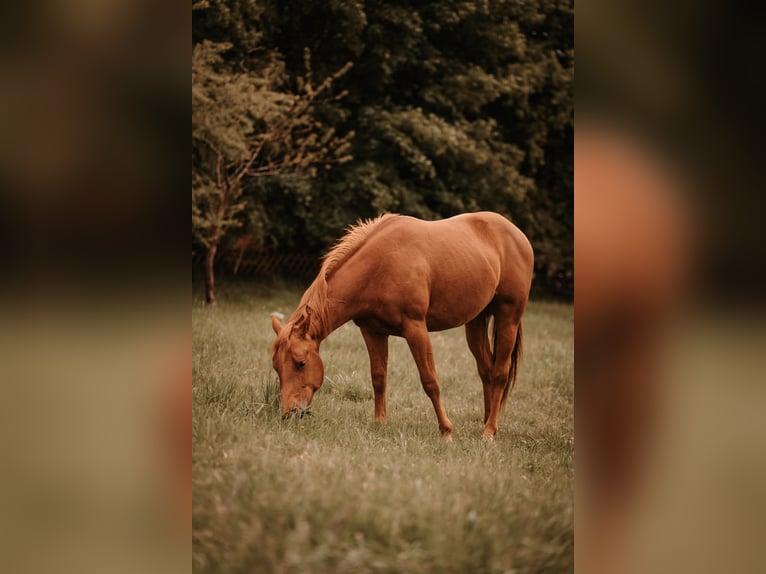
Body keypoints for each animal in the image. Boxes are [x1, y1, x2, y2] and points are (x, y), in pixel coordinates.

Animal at [270, 212, 534, 440]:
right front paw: (379, 423)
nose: (289, 414)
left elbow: (430, 381)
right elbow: (378, 378)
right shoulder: (372, 331)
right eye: (276, 367)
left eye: (301, 363)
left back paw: (489, 432)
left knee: (499, 373)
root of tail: (517, 234)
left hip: (508, 317)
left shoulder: (416, 329)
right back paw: (488, 422)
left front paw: (446, 431)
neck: (381, 264)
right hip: (476, 323)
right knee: (486, 371)